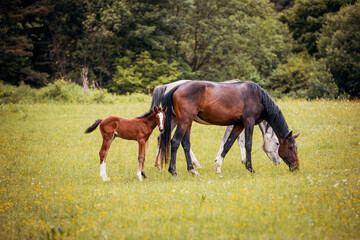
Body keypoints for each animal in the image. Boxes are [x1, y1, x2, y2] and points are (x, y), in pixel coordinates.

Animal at [160, 80, 298, 176]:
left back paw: (193, 171)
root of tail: (177, 87)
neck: (258, 96)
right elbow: (248, 144)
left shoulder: (239, 125)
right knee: (175, 142)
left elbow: (228, 145)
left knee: (185, 144)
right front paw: (250, 168)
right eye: (290, 147)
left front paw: (218, 168)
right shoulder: (249, 122)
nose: (296, 167)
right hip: (184, 121)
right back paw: (173, 171)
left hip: (188, 122)